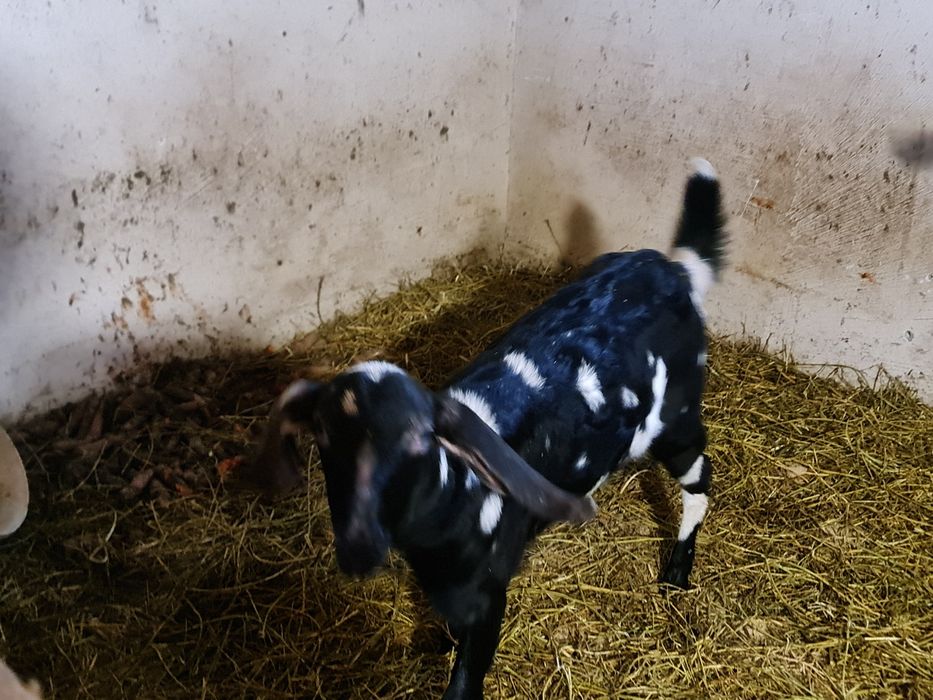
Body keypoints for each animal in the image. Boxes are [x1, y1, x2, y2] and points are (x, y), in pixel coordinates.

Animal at [246, 158, 727, 699]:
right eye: (323, 435)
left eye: (419, 439)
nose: (358, 549)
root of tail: (676, 269)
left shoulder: (487, 591)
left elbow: (465, 680)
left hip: (676, 416)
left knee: (701, 475)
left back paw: (678, 569)